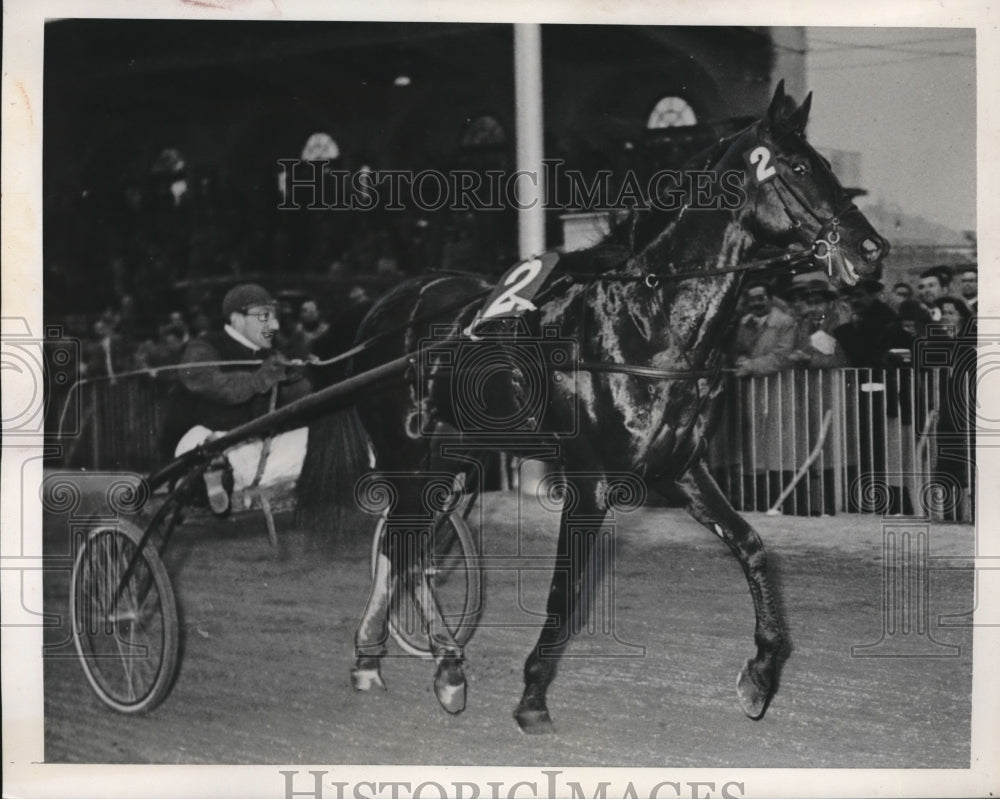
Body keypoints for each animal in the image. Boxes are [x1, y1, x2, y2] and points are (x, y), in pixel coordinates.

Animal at [342, 84, 884, 736]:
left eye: (828, 164)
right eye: (800, 167)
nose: (872, 249)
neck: (648, 324)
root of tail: (386, 309)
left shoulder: (682, 469)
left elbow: (751, 545)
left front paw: (759, 676)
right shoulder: (589, 480)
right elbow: (565, 589)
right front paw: (532, 696)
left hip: (452, 458)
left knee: (410, 547)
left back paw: (432, 667)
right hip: (407, 451)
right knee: (404, 544)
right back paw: (414, 663)